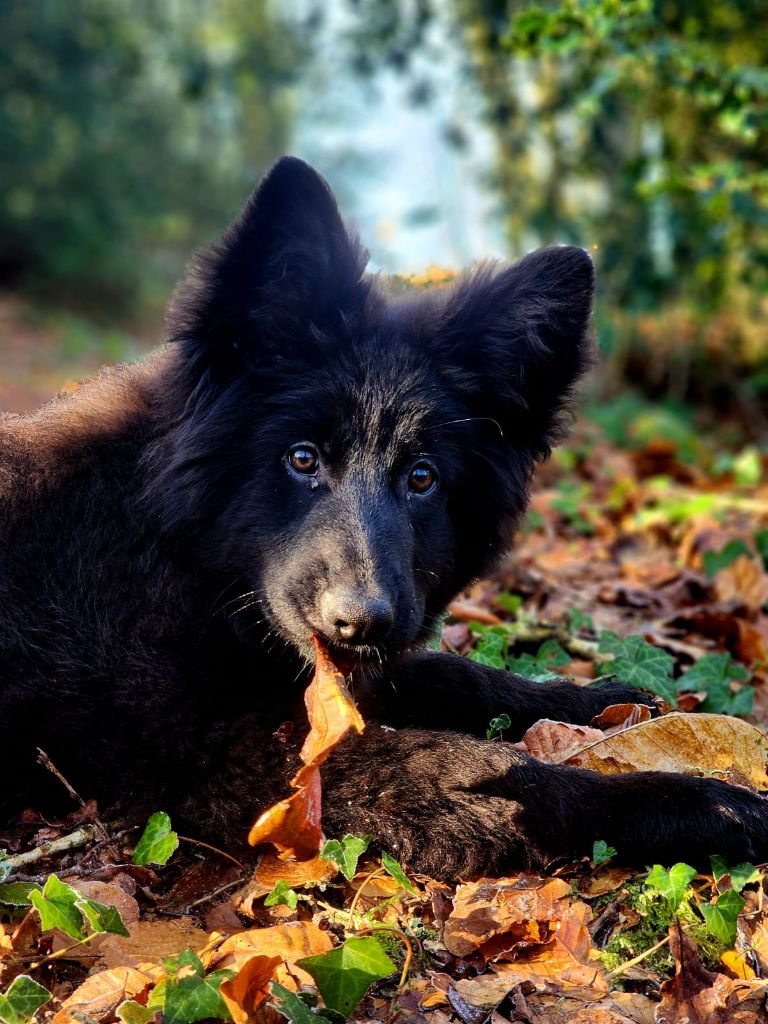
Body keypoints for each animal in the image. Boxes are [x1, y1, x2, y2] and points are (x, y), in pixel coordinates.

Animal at [1, 155, 768, 876]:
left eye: (422, 478)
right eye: (302, 458)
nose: (359, 621)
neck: (168, 550)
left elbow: (455, 673)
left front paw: (598, 700)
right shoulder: (222, 752)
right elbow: (490, 770)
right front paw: (700, 802)